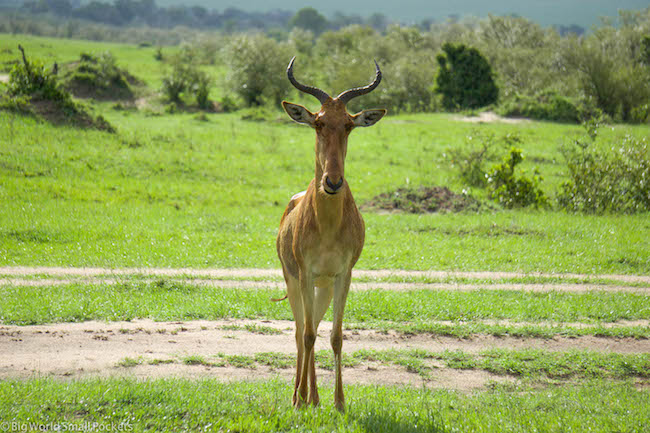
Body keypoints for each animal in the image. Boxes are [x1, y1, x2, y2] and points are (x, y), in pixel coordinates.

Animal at [274, 55, 384, 410]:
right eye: (318, 122)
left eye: (348, 124)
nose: (333, 182)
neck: (327, 225)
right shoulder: (306, 273)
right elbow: (307, 335)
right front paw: (299, 401)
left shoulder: (343, 275)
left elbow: (335, 336)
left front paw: (339, 402)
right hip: (295, 281)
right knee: (300, 332)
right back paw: (299, 395)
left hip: (323, 286)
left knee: (316, 327)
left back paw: (315, 396)